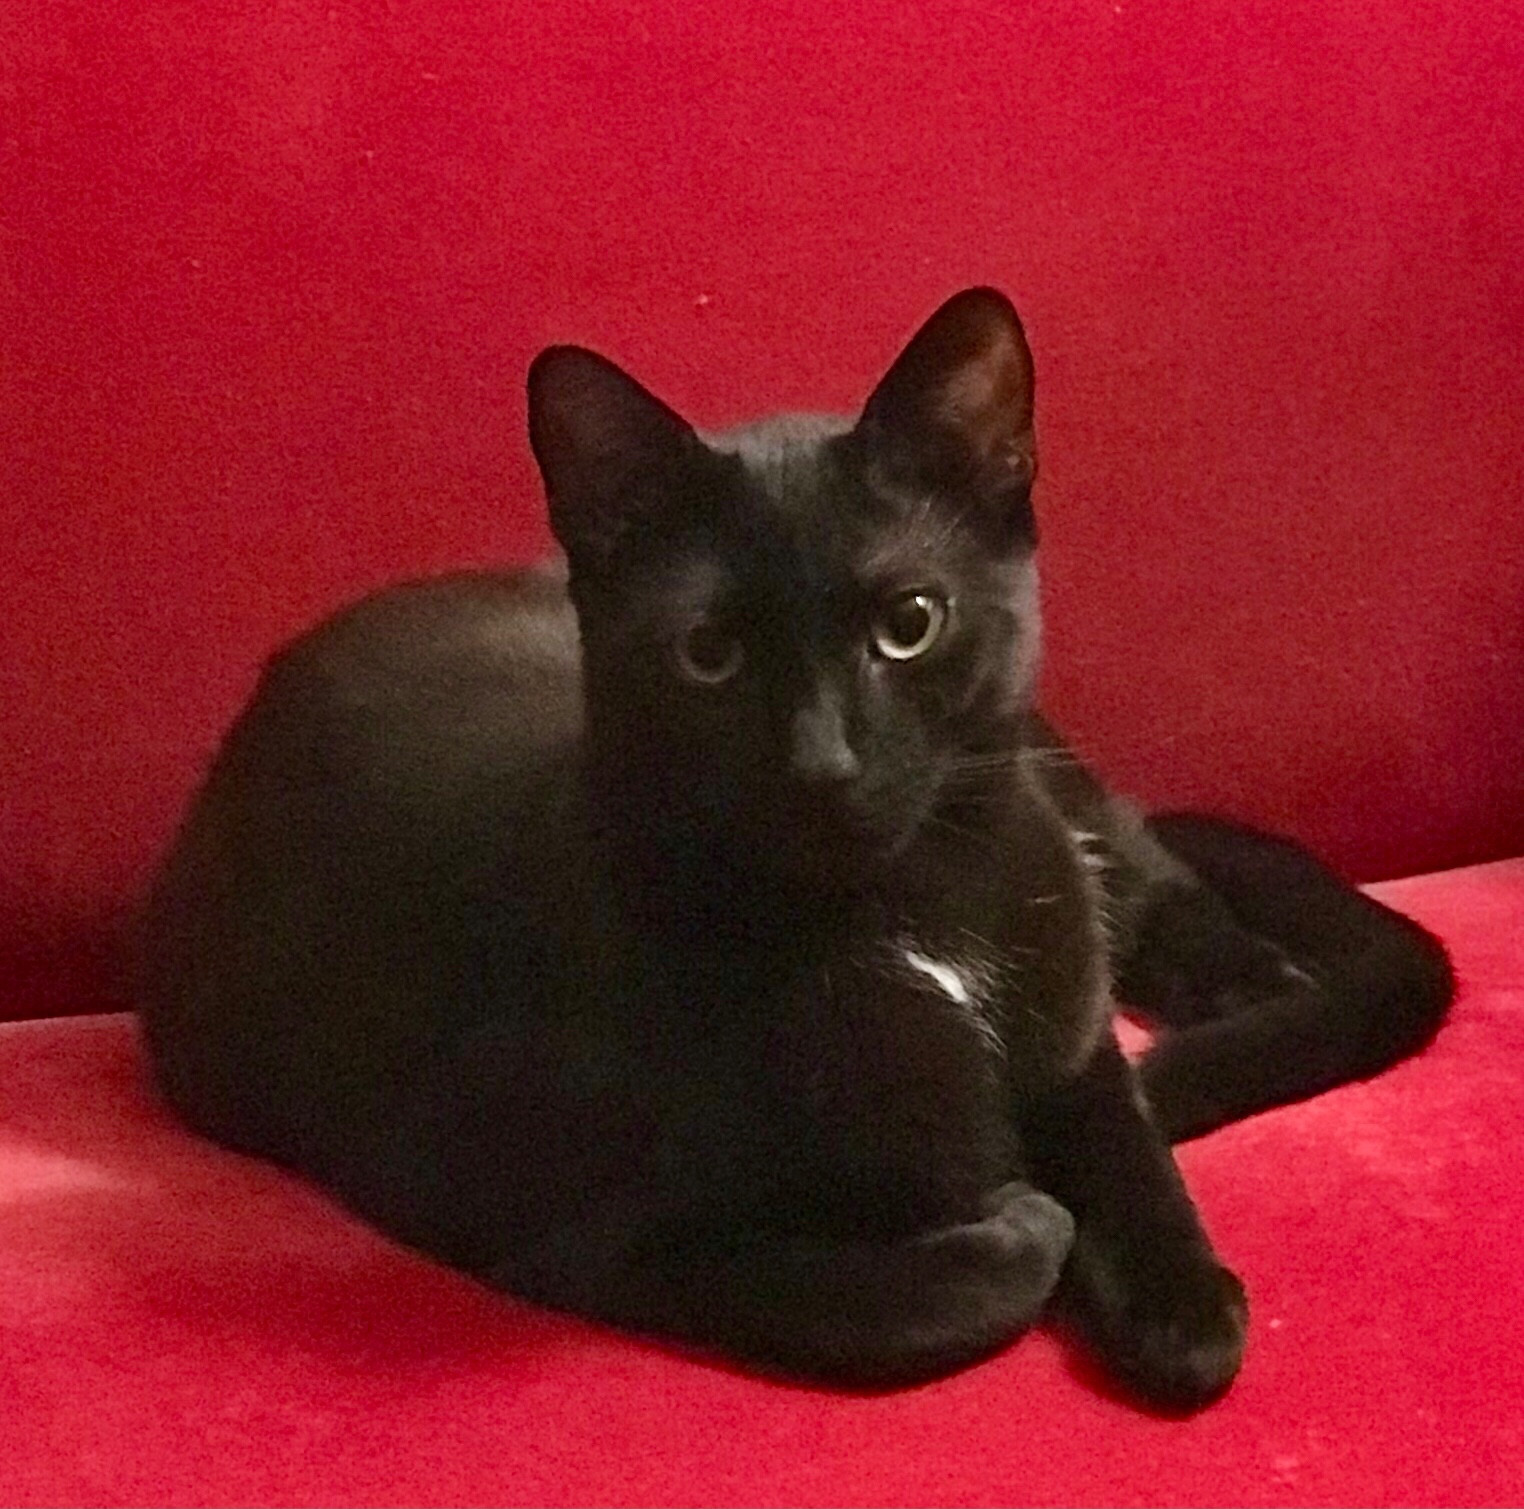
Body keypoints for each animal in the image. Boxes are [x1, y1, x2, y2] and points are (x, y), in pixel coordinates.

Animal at [140, 289, 1450, 1414]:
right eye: (708, 654)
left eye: (910, 623)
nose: (822, 761)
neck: (909, 917)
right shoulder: (551, 1215)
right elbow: (875, 1298)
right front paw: (1022, 1223)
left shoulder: (1076, 1041)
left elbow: (1128, 1148)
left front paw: (1184, 1307)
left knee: (1164, 885)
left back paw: (1256, 985)